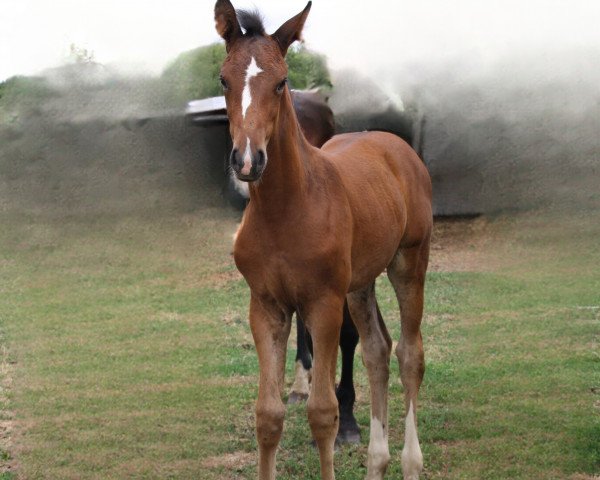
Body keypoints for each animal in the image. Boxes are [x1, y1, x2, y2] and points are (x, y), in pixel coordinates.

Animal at [216, 1, 432, 478]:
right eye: (223, 79)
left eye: (281, 82)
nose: (247, 161)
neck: (287, 211)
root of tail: (396, 145)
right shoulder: (266, 306)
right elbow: (268, 414)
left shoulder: (323, 303)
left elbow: (322, 412)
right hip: (360, 284)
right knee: (377, 351)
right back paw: (377, 461)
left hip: (409, 262)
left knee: (410, 354)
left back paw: (409, 462)